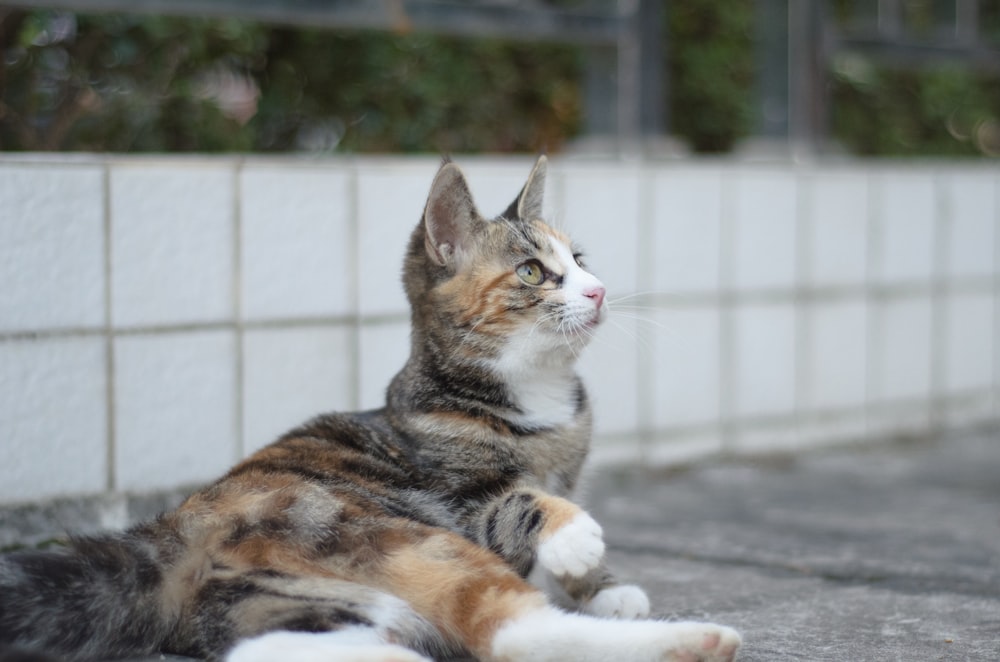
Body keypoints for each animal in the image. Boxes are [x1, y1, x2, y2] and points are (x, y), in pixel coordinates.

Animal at [0, 157, 740, 662]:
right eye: (533, 272)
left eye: (580, 259)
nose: (599, 290)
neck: (534, 398)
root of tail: (171, 531)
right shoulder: (459, 500)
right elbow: (516, 500)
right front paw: (575, 536)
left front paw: (603, 584)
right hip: (391, 533)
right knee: (510, 633)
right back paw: (699, 639)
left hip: (286, 598)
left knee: (284, 647)